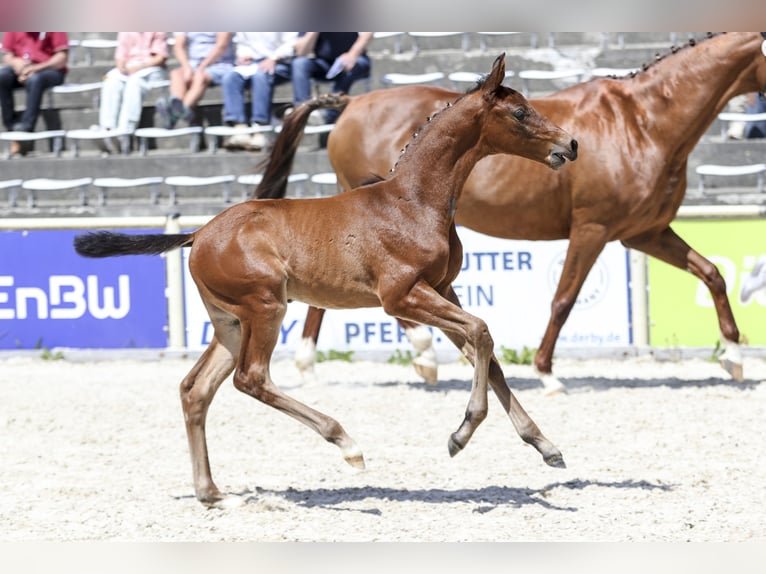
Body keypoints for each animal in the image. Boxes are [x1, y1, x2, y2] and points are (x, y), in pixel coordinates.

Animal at [74, 54, 578, 508]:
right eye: (520, 112)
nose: (571, 145)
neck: (413, 201)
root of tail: (197, 234)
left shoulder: (441, 289)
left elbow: (486, 356)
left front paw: (546, 446)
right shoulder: (402, 297)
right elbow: (481, 332)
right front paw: (462, 433)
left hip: (231, 322)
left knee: (195, 389)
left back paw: (212, 493)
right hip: (266, 308)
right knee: (250, 379)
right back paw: (346, 444)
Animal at [263, 32, 766, 395]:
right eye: (521, 113)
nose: (571, 146)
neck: (643, 121)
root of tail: (351, 102)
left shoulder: (646, 232)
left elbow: (712, 274)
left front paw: (734, 357)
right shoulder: (594, 229)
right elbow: (563, 300)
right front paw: (548, 375)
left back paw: (311, 365)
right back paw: (423, 354)